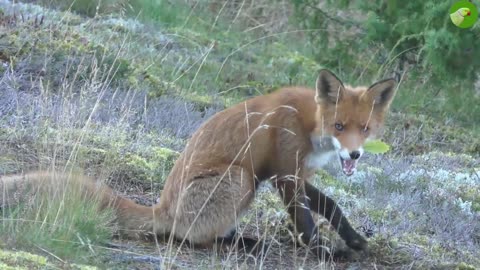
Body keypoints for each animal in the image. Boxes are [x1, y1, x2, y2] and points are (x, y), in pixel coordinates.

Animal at [0, 69, 398, 260]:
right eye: (339, 126)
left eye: (364, 129)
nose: (354, 155)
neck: (309, 123)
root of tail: (163, 207)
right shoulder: (285, 174)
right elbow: (305, 222)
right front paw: (324, 253)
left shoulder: (295, 173)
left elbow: (331, 206)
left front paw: (353, 239)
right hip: (240, 179)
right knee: (190, 237)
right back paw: (240, 244)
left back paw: (243, 239)